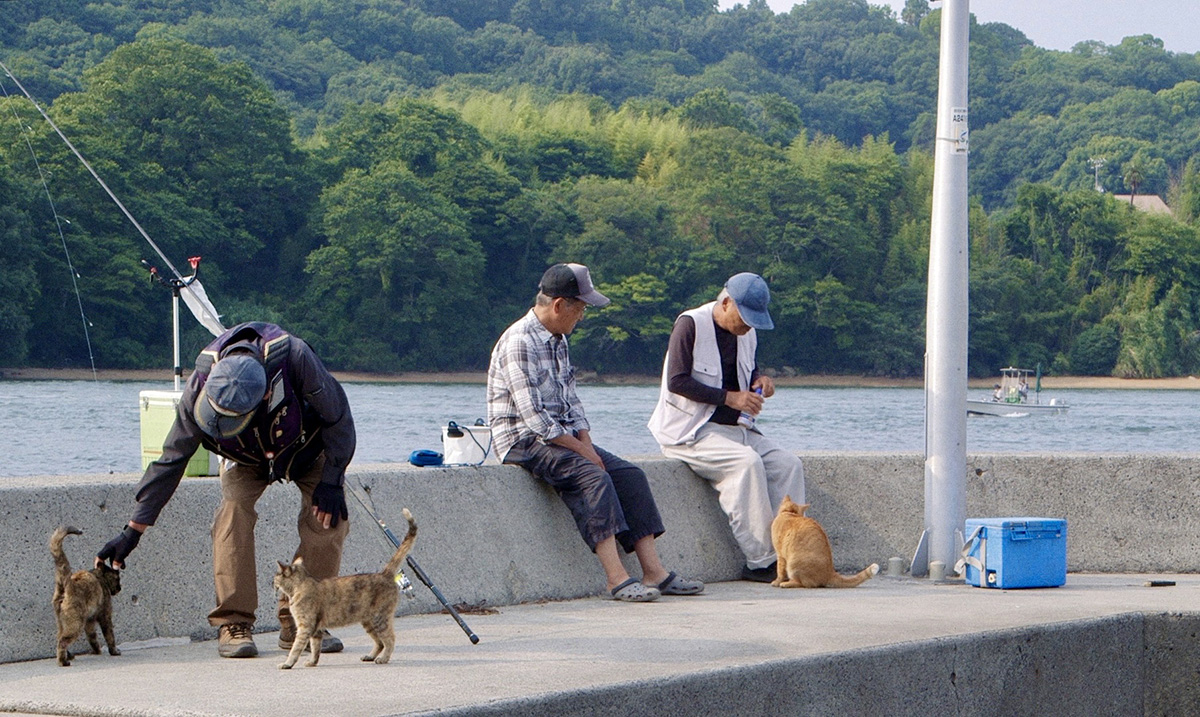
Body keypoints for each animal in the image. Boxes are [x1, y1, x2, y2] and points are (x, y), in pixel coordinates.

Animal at [50, 526, 122, 666]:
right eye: (118, 579)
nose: (120, 587)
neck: (99, 576)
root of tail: (68, 584)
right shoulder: (105, 615)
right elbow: (110, 635)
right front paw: (114, 651)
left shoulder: (90, 621)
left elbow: (92, 637)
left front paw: (96, 650)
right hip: (76, 624)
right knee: (62, 641)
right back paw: (63, 661)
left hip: (62, 622)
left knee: (59, 637)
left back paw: (68, 656)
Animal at [273, 508, 417, 669]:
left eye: (276, 576)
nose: (272, 582)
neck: (299, 586)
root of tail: (384, 573)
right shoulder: (316, 630)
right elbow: (316, 648)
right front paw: (312, 662)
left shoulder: (305, 627)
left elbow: (296, 648)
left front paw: (287, 663)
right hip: (368, 622)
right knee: (380, 642)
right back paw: (370, 656)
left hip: (380, 619)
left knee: (390, 640)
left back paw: (383, 658)